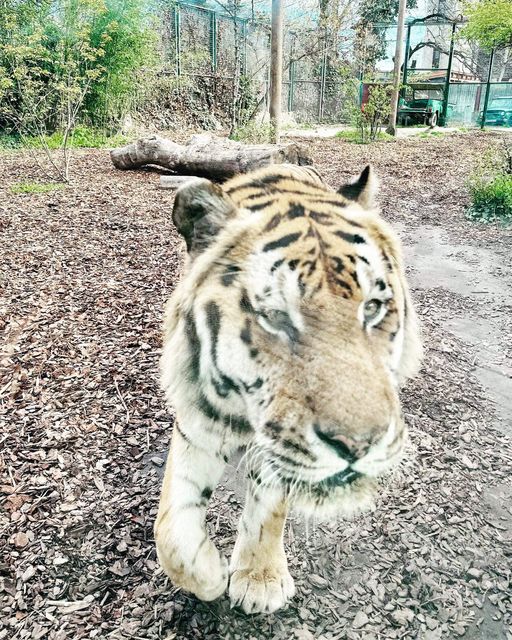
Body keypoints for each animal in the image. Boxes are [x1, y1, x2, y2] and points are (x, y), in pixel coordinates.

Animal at [155, 163, 422, 614]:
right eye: (276, 316)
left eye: (372, 308)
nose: (358, 446)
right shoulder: (197, 424)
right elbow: (173, 532)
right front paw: (211, 576)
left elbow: (268, 509)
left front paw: (258, 580)